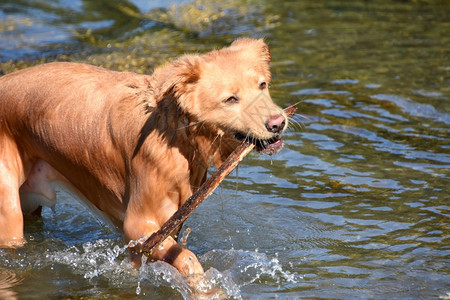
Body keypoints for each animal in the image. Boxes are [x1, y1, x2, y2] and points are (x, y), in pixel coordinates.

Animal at [0, 38, 288, 288]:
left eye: (262, 85)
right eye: (231, 99)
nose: (278, 122)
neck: (175, 135)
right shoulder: (139, 226)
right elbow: (188, 258)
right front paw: (206, 287)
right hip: (9, 213)